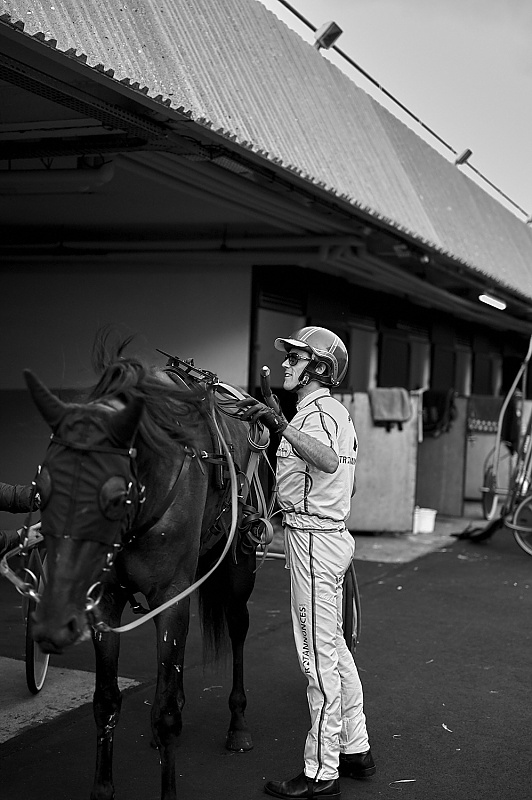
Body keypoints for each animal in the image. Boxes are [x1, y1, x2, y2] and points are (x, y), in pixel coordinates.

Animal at [24, 332, 272, 800]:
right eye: (41, 489)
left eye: (114, 496)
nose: (51, 623)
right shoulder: (104, 600)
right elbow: (106, 701)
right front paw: (103, 789)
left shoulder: (172, 595)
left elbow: (167, 712)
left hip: (238, 568)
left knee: (238, 629)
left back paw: (239, 725)